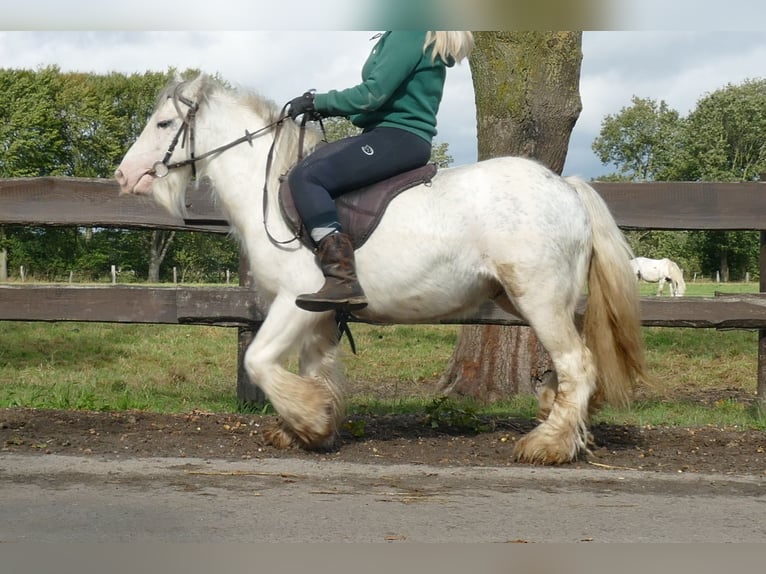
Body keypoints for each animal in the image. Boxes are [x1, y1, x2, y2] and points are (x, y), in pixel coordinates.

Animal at [117, 76, 652, 466]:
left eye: (163, 123)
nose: (124, 176)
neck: (267, 189)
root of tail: (567, 187)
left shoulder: (294, 301)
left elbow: (260, 361)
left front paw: (308, 419)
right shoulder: (318, 311)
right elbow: (316, 367)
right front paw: (311, 426)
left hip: (539, 299)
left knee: (577, 363)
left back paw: (549, 444)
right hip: (534, 300)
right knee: (579, 361)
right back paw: (565, 420)